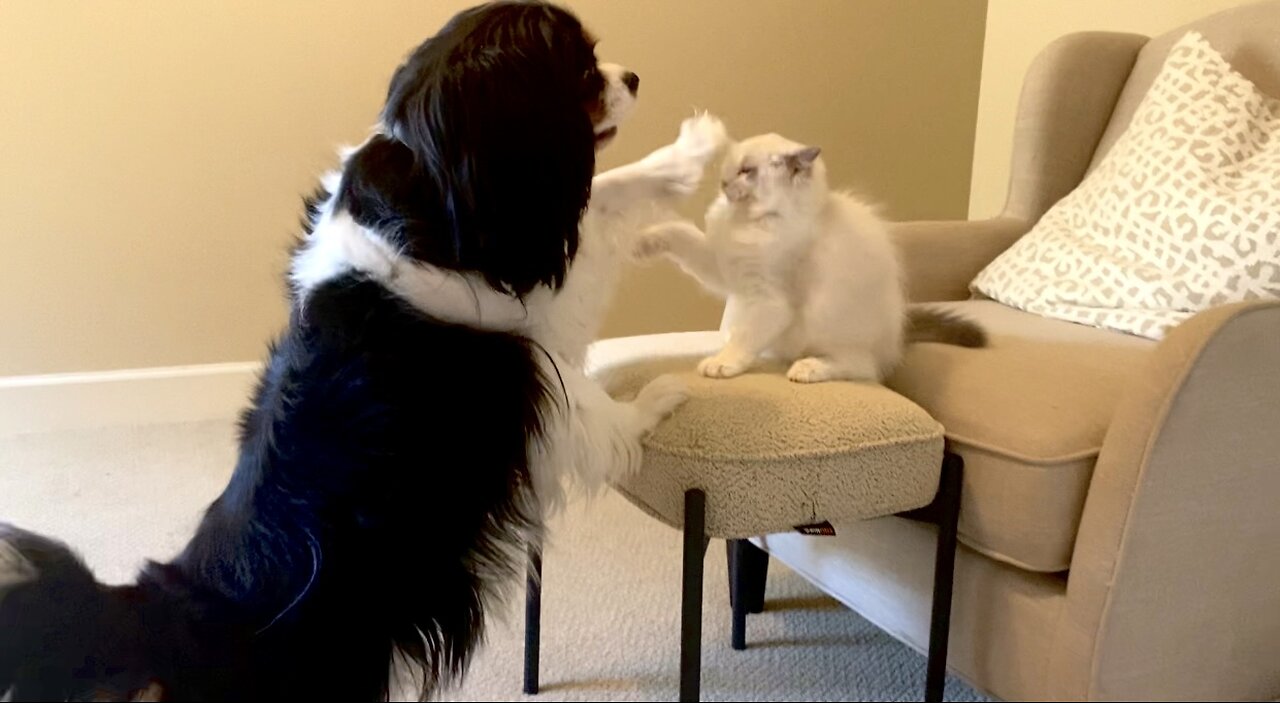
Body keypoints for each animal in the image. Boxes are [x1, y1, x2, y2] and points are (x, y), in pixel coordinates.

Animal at [0, 2, 721, 696]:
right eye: (581, 67)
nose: (634, 77)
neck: (438, 173)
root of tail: (156, 613)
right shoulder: (530, 333)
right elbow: (598, 397)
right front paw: (658, 397)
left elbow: (610, 189)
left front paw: (693, 147)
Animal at [634, 131, 983, 384]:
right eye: (729, 169)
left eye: (746, 171)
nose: (723, 183)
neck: (751, 222)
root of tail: (898, 333)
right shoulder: (722, 266)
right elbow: (679, 232)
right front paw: (642, 243)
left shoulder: (769, 301)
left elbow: (745, 339)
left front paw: (721, 364)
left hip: (832, 328)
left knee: (863, 369)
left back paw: (806, 368)